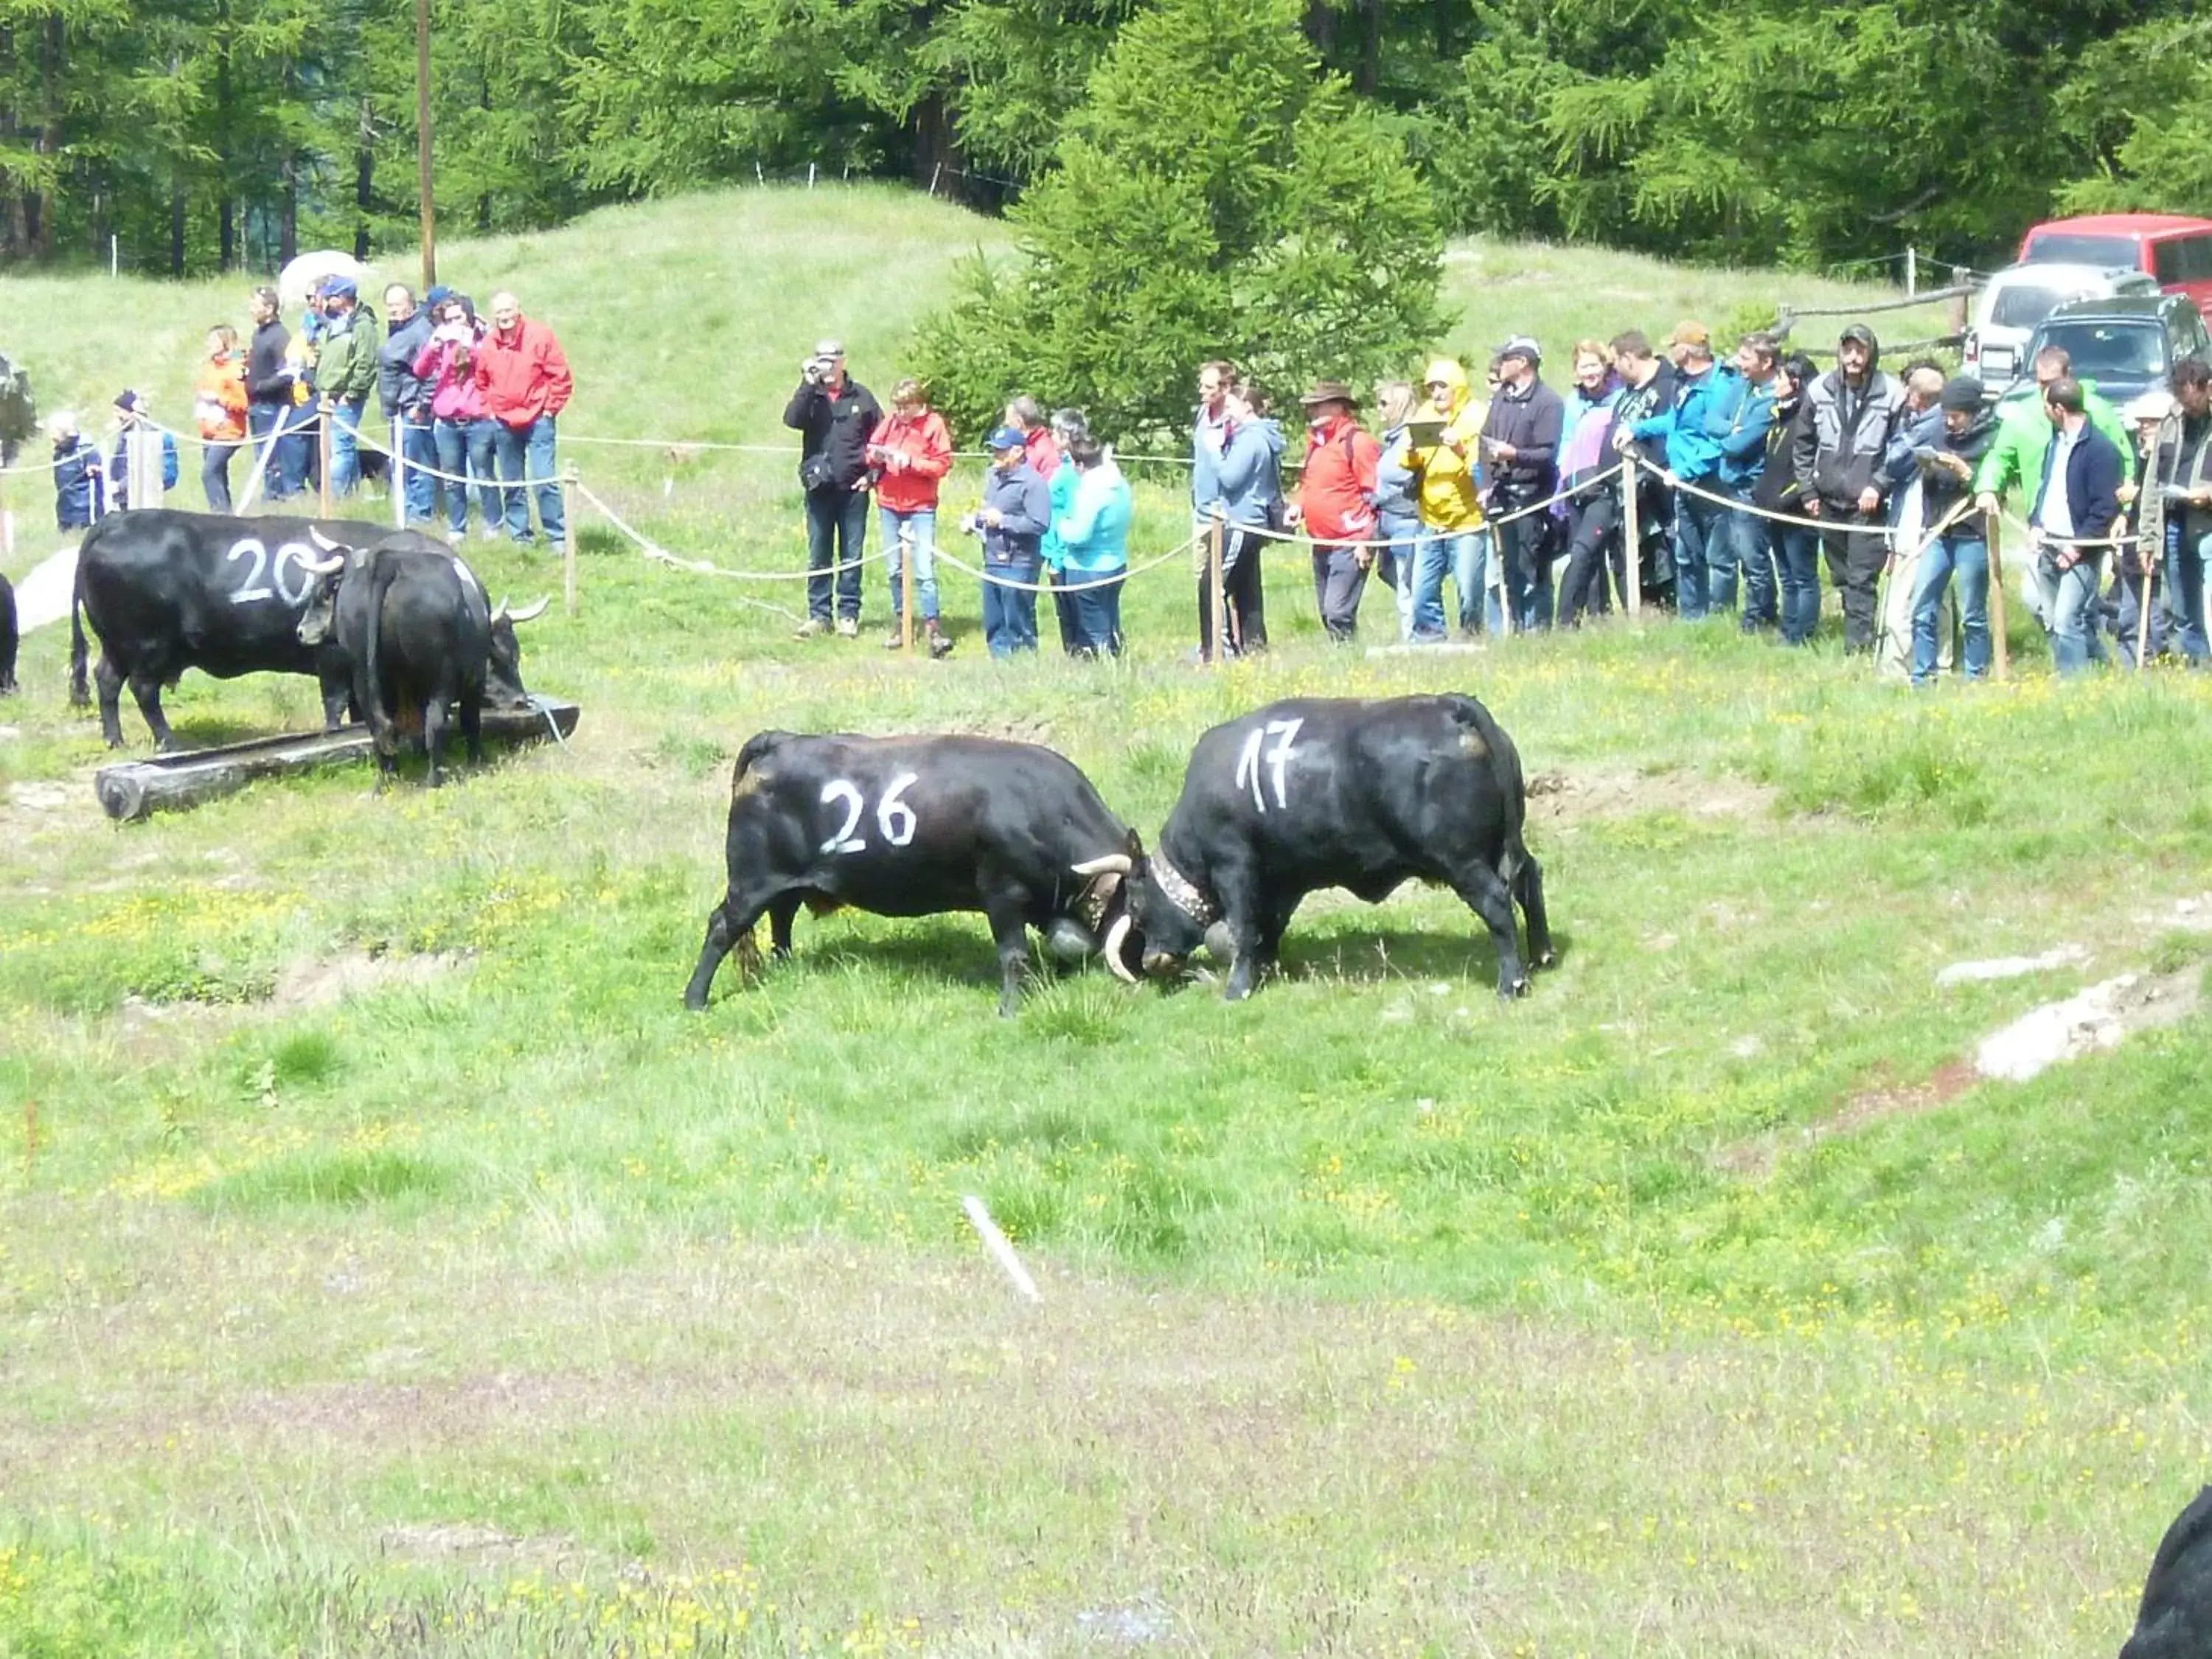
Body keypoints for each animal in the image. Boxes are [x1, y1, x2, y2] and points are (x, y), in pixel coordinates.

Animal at [294, 533, 544, 792]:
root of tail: (390, 561)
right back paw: (436, 779)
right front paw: (478, 760)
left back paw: (386, 783)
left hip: (364, 677)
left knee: (379, 730)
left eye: (323, 593)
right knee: (435, 724)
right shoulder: (473, 684)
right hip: (440, 679)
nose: (520, 700)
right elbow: (469, 721)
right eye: (502, 657)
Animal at [681, 734, 1141, 1022]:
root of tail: (782, 740)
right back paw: (695, 1000)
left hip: (786, 879)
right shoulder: (1003, 894)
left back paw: (786, 968)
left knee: (782, 915)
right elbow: (1014, 954)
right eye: (1142, 905)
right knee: (723, 926)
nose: (1157, 963)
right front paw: (1010, 1009)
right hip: (752, 880)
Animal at [1106, 690, 1557, 1000]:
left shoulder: (1234, 867)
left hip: (1461, 860)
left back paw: (1511, 982)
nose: (1149, 960)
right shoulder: (1285, 879)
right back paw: (1543, 954)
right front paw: (1268, 967)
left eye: (1137, 905)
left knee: (1498, 903)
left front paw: (1238, 987)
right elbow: (1268, 928)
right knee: (1528, 879)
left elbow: (1245, 928)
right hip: (1505, 847)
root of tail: (1451, 705)